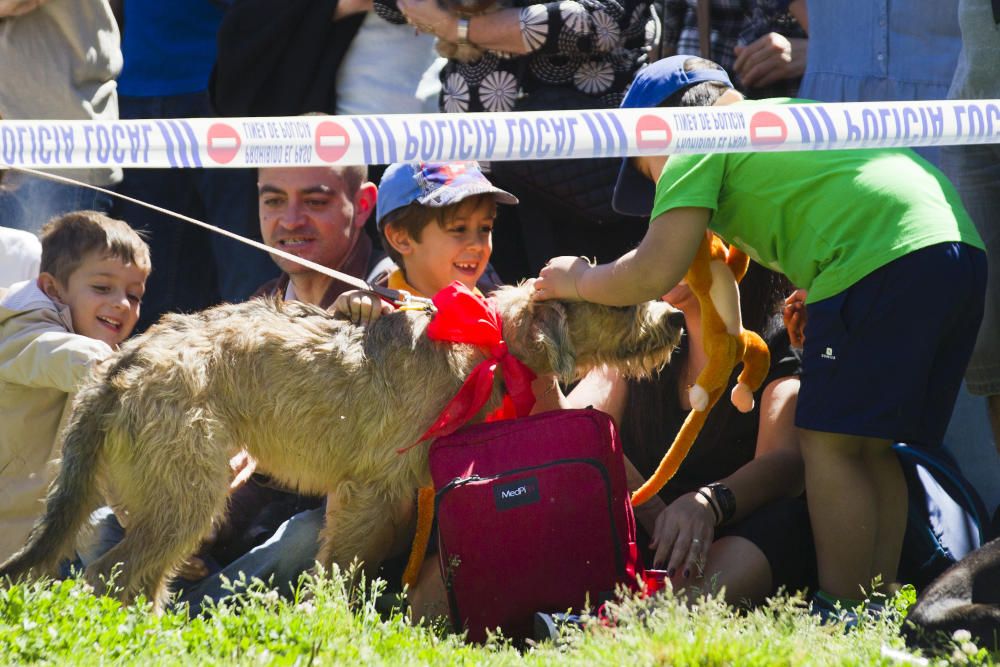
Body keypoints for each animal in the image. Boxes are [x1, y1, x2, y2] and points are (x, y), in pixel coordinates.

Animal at [0, 282, 680, 612]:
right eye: (619, 300)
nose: (676, 317)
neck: (487, 339)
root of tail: (121, 364)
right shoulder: (369, 492)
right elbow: (340, 568)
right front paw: (330, 618)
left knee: (133, 575)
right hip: (184, 494)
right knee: (113, 575)